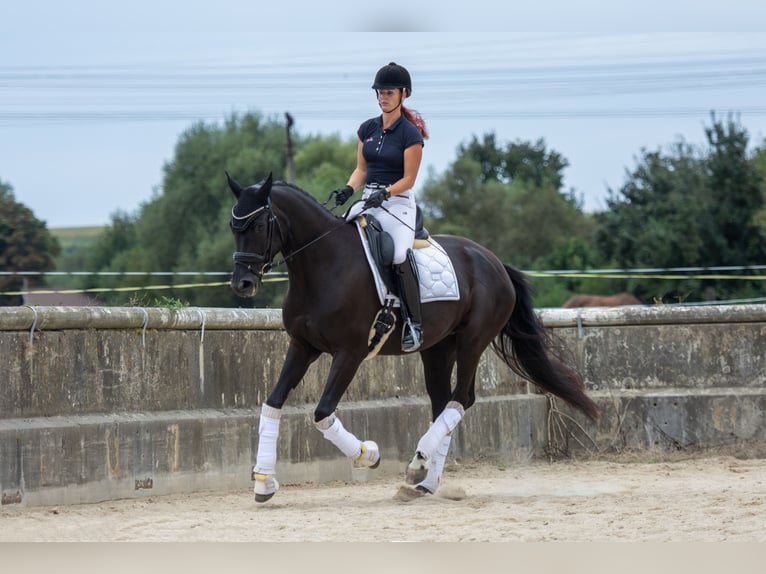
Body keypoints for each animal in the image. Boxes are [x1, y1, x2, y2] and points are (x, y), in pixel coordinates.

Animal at [228, 172, 600, 504]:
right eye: (234, 227)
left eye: (258, 226)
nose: (242, 284)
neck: (323, 266)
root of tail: (493, 261)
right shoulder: (303, 347)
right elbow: (272, 403)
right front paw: (264, 481)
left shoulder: (349, 353)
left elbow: (322, 413)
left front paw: (369, 454)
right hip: (437, 349)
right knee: (443, 404)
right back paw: (425, 481)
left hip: (472, 342)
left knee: (461, 399)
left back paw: (418, 462)